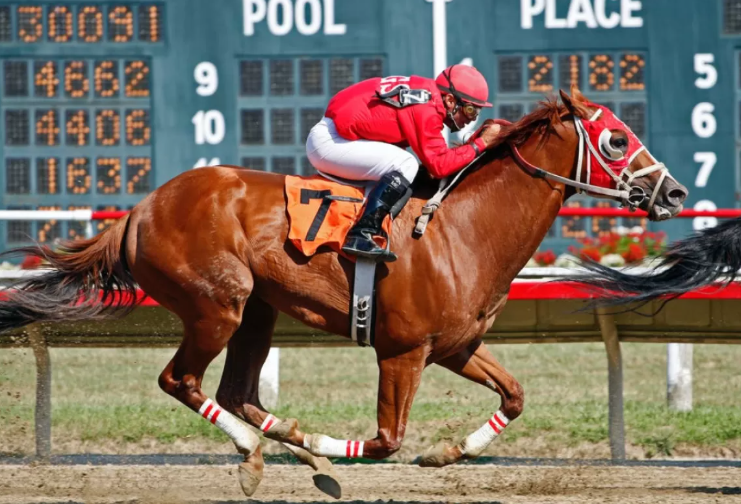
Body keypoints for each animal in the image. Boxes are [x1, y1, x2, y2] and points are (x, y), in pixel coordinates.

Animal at [0, 87, 687, 497]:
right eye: (618, 138)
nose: (675, 192)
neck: (462, 230)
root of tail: (139, 210)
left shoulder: (456, 347)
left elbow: (515, 397)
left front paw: (448, 452)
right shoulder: (402, 353)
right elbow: (386, 442)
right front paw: (340, 454)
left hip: (258, 310)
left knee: (238, 391)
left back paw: (293, 447)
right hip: (218, 304)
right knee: (183, 381)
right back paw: (262, 453)